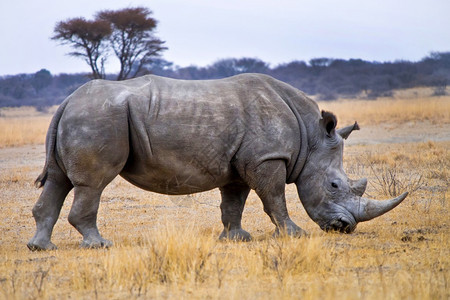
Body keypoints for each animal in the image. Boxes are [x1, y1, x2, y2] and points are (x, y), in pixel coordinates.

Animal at [28, 73, 408, 251]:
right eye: (333, 185)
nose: (345, 227)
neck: (310, 136)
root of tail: (66, 101)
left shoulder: (241, 162)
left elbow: (234, 202)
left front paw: (237, 239)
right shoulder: (267, 158)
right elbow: (274, 198)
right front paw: (293, 234)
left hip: (83, 117)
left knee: (60, 181)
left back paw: (41, 247)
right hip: (97, 118)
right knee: (92, 184)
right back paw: (99, 245)